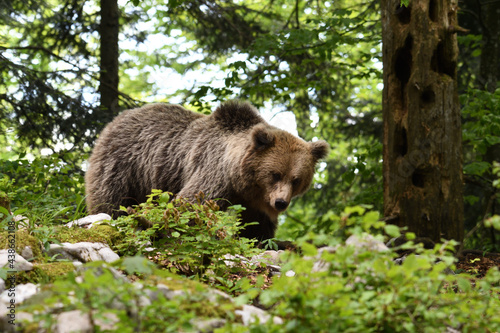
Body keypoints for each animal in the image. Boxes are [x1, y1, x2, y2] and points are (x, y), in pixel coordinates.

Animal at [84, 100, 330, 240]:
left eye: (296, 179)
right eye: (275, 174)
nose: (280, 203)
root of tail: (116, 119)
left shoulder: (255, 204)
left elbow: (256, 227)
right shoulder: (214, 173)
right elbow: (191, 204)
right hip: (124, 163)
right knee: (110, 197)